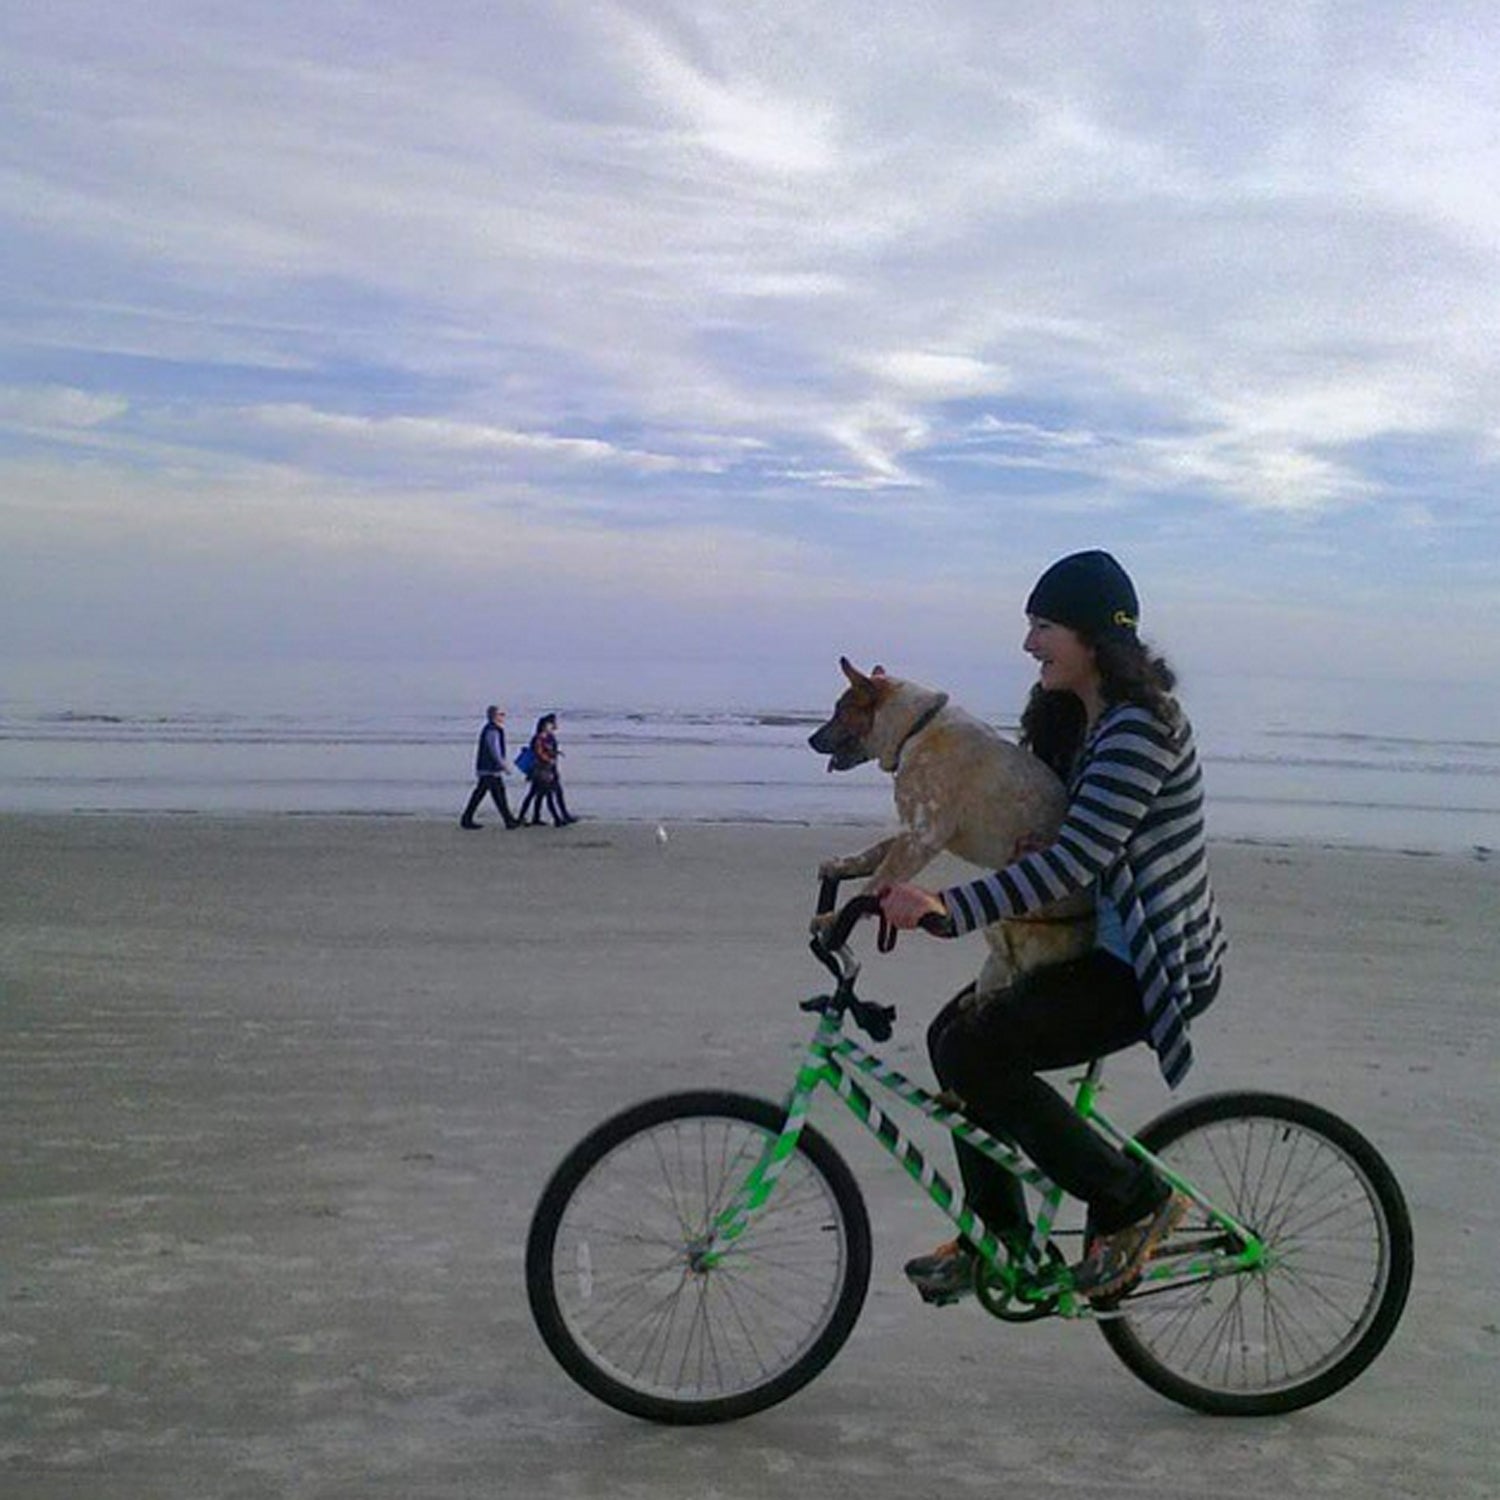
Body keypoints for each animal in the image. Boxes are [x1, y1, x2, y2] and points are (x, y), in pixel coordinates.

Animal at [810, 657, 1092, 996]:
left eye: (840, 711)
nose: (811, 740)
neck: (914, 728)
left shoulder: (922, 837)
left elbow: (876, 883)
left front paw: (833, 919)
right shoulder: (912, 830)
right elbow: (873, 854)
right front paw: (839, 865)